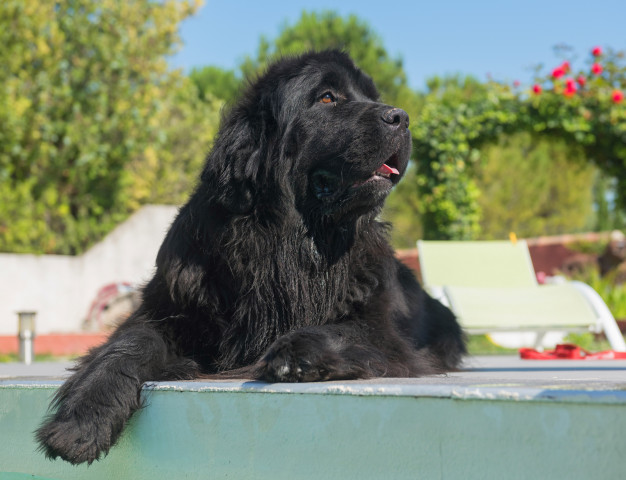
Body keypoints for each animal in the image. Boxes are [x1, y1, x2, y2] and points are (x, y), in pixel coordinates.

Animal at [35, 50, 464, 464]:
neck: (293, 242)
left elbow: (347, 329)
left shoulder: (383, 330)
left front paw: (297, 352)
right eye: (328, 98)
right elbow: (129, 343)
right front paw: (82, 422)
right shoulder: (169, 307)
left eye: (372, 96)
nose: (401, 117)